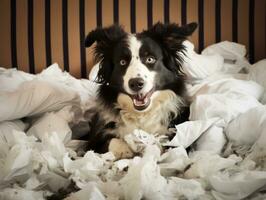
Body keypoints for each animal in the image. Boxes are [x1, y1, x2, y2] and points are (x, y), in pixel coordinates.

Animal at [83, 21, 197, 159]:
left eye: (150, 59)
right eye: (122, 62)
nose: (136, 83)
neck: (141, 115)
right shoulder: (92, 142)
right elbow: (110, 141)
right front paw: (124, 150)